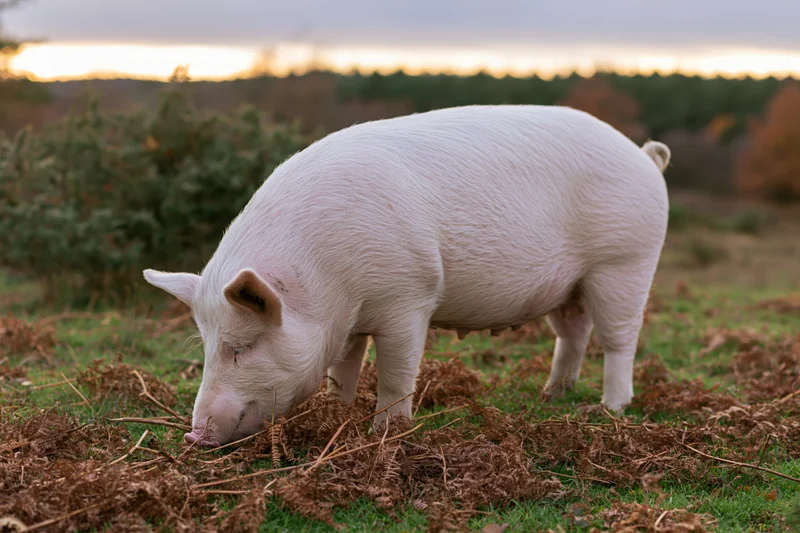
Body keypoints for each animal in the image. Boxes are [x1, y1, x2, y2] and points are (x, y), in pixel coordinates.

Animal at [143, 104, 670, 447]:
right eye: (207, 346)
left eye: (243, 346)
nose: (193, 434)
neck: (328, 285)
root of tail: (644, 156)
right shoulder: (349, 321)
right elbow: (342, 370)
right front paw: (336, 413)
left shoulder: (409, 296)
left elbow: (397, 373)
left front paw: (385, 433)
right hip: (570, 285)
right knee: (574, 332)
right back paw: (552, 394)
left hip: (624, 262)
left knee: (621, 338)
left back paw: (610, 407)